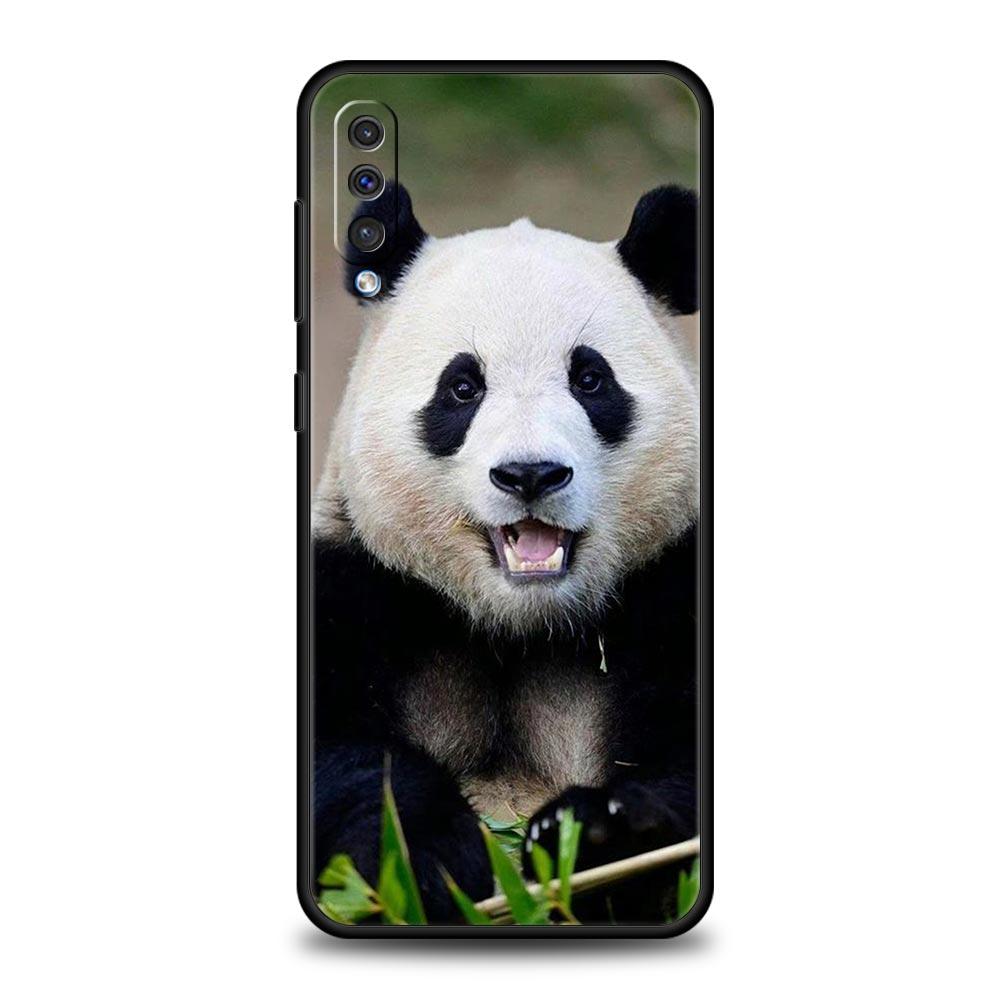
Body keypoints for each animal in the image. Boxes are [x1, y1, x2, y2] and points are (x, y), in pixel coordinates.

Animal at [312, 182, 700, 923]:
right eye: (463, 387)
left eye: (590, 380)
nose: (530, 475)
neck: (520, 625)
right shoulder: (356, 584)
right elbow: (347, 757)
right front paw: (426, 858)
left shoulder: (671, 582)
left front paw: (599, 834)